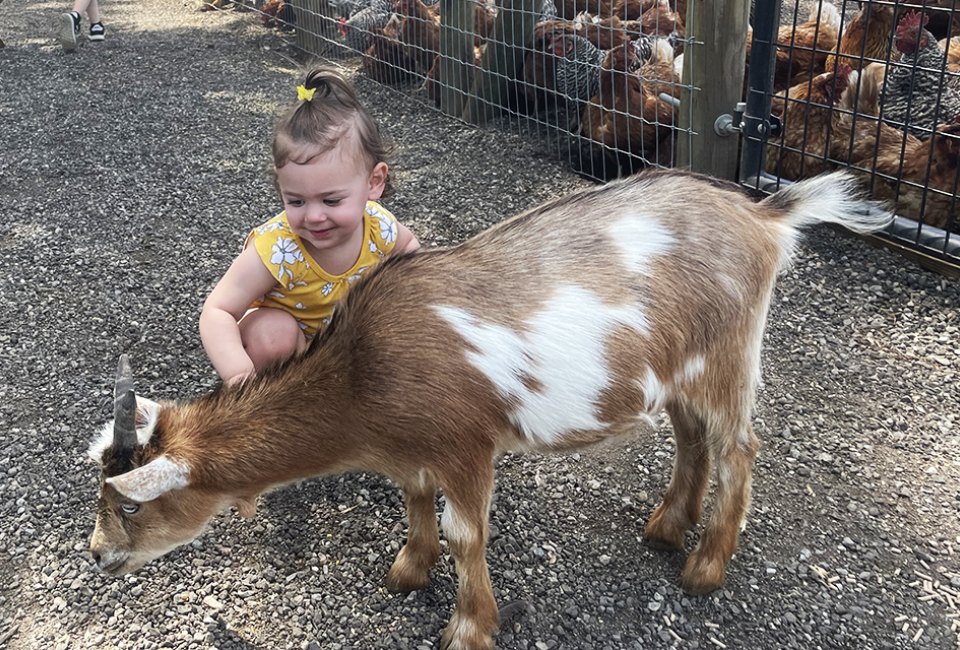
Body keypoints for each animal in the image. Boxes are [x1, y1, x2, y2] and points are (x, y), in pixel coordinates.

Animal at [88, 170, 892, 648]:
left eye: (129, 505)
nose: (97, 556)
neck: (361, 375)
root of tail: (764, 214)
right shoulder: (410, 448)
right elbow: (415, 503)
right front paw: (407, 571)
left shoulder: (466, 444)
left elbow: (466, 533)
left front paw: (469, 628)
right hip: (678, 371)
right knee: (692, 439)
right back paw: (667, 528)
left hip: (727, 356)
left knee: (738, 448)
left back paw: (704, 567)